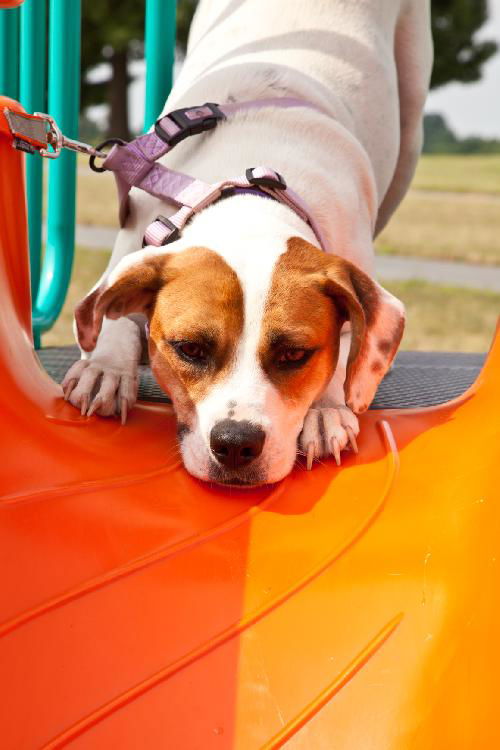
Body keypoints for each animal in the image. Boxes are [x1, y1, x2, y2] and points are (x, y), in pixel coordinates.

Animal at [62, 0, 432, 488]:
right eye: (189, 349)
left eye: (295, 354)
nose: (236, 444)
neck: (250, 200)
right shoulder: (132, 249)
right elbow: (112, 318)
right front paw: (104, 367)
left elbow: (351, 350)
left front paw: (325, 410)